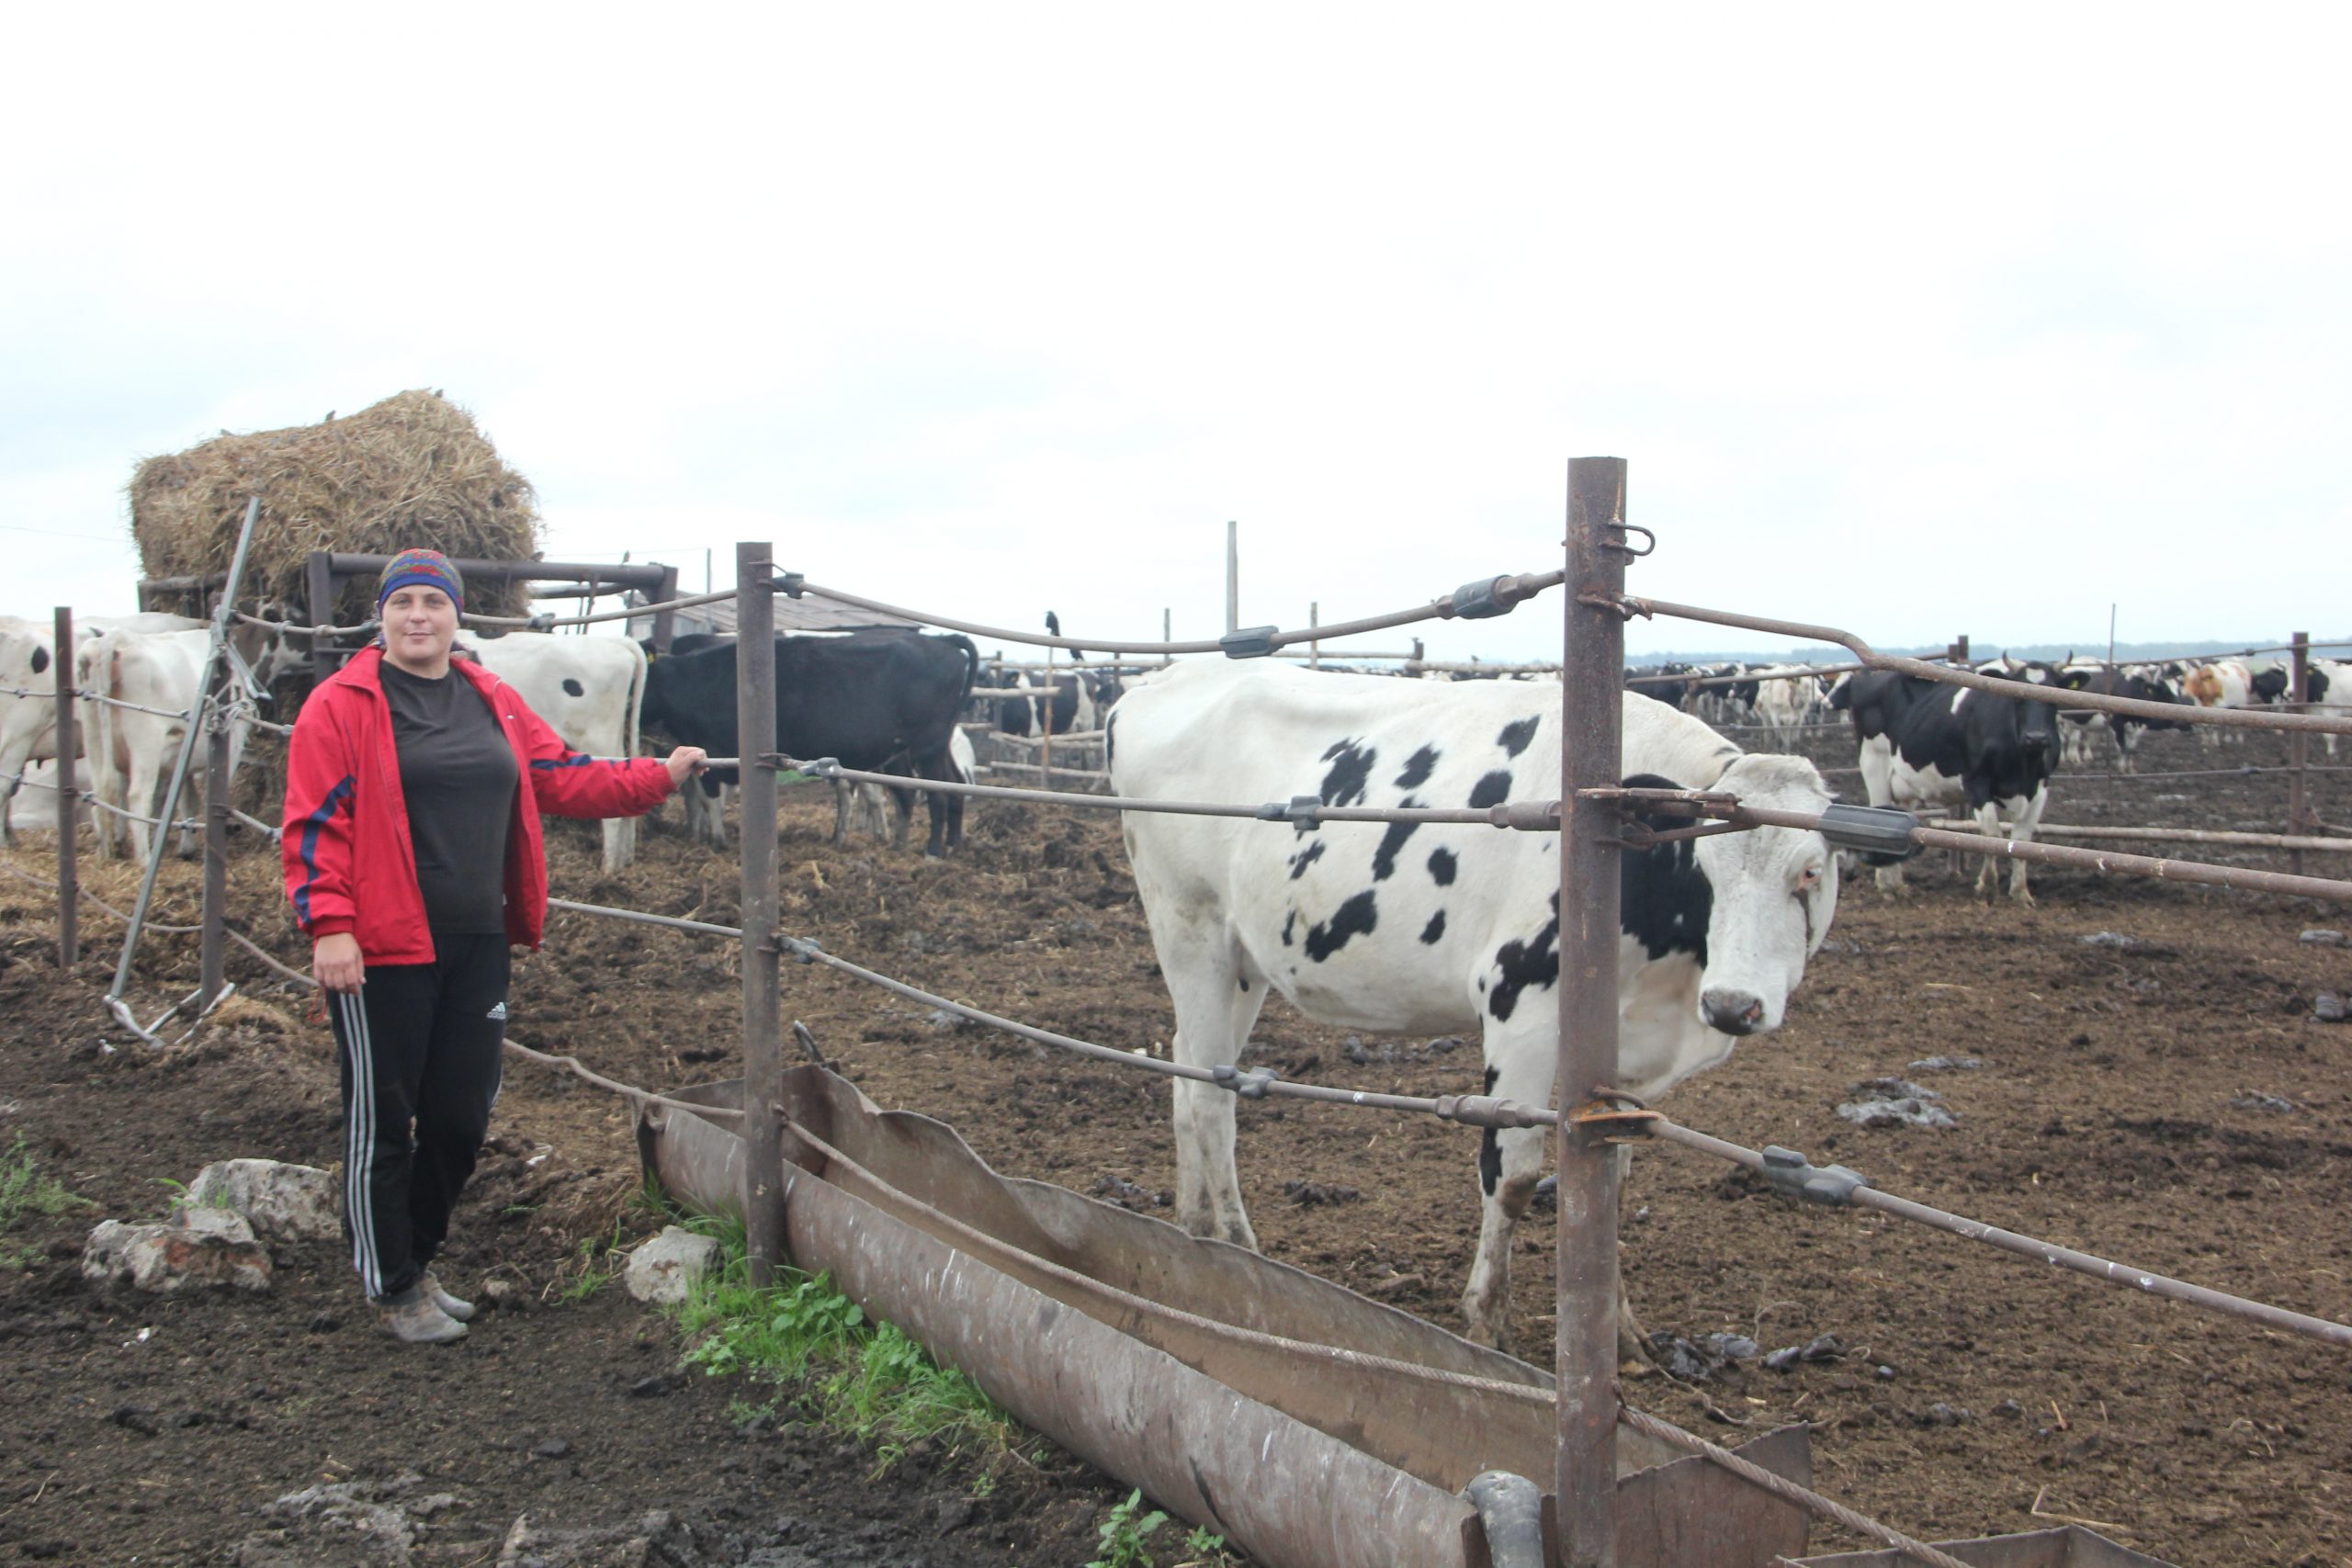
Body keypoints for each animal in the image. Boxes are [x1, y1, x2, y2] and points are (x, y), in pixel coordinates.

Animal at [639, 629, 978, 860]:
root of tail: (943, 640)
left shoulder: (716, 752)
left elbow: (710, 800)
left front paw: (717, 841)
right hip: (923, 747)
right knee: (941, 788)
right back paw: (932, 843)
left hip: (927, 744)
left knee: (938, 792)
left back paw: (933, 850)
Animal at [1110, 658, 1844, 1354]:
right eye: (1705, 865)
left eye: (1811, 871)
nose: (1733, 1005)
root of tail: (1155, 683)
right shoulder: (1520, 1000)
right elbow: (1512, 1175)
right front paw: (1486, 1322)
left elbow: (1612, 1181)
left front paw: (1622, 1334)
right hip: (1189, 929)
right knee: (1212, 1098)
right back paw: (1239, 1246)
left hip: (1242, 963)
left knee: (1188, 1072)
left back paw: (1193, 1230)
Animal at [1834, 667, 2060, 902]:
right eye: (2017, 699)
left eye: (2053, 701)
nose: (2036, 737)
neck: (2022, 766)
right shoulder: (1976, 782)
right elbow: (1992, 835)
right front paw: (1987, 886)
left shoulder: (2040, 788)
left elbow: (2022, 840)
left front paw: (2020, 892)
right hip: (1874, 765)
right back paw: (1886, 887)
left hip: (1903, 785)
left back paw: (1897, 886)